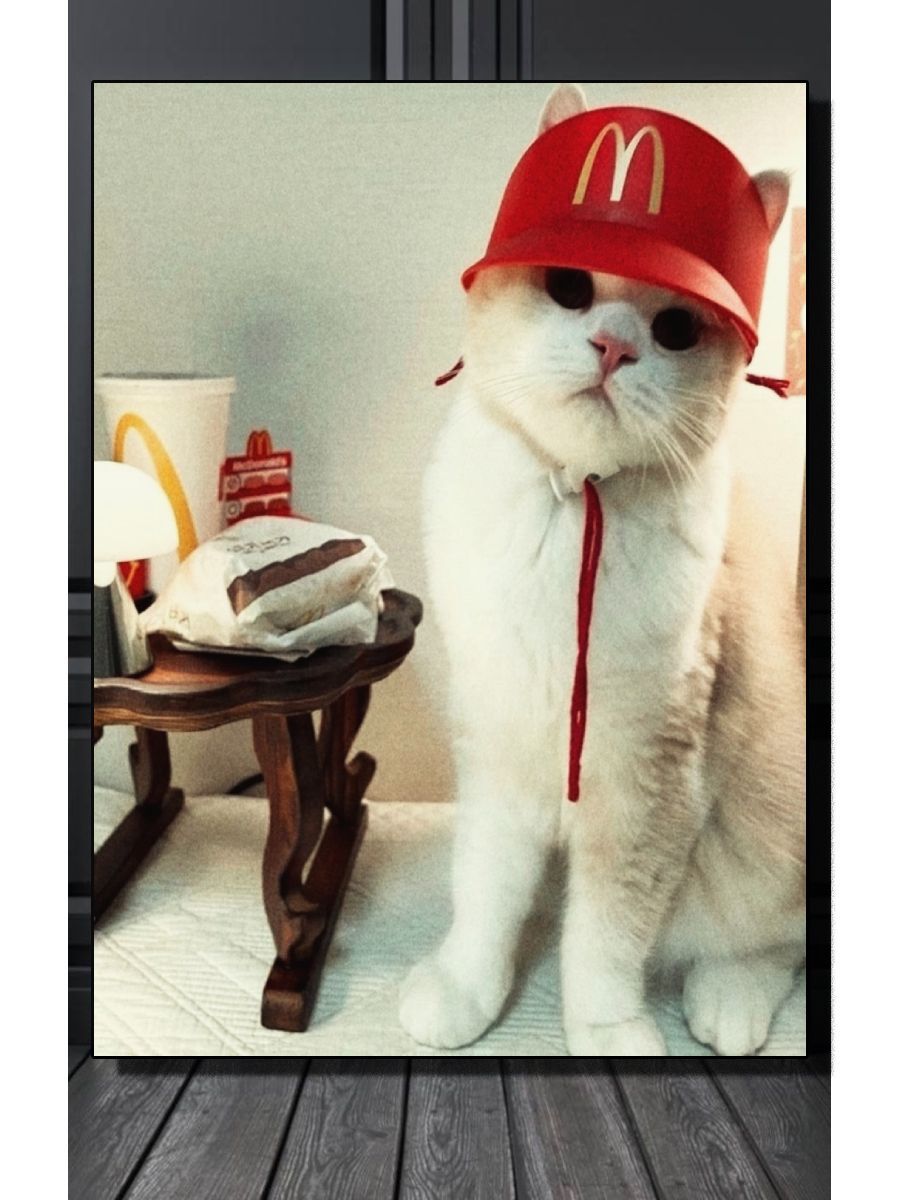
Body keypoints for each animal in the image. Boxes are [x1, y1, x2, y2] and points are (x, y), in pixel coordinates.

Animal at [399, 84, 805, 1056]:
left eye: (675, 328)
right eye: (571, 289)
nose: (617, 347)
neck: (570, 506)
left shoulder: (646, 784)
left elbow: (606, 939)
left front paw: (609, 1032)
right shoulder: (500, 748)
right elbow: (486, 900)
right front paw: (465, 994)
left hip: (767, 839)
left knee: (775, 944)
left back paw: (726, 1004)